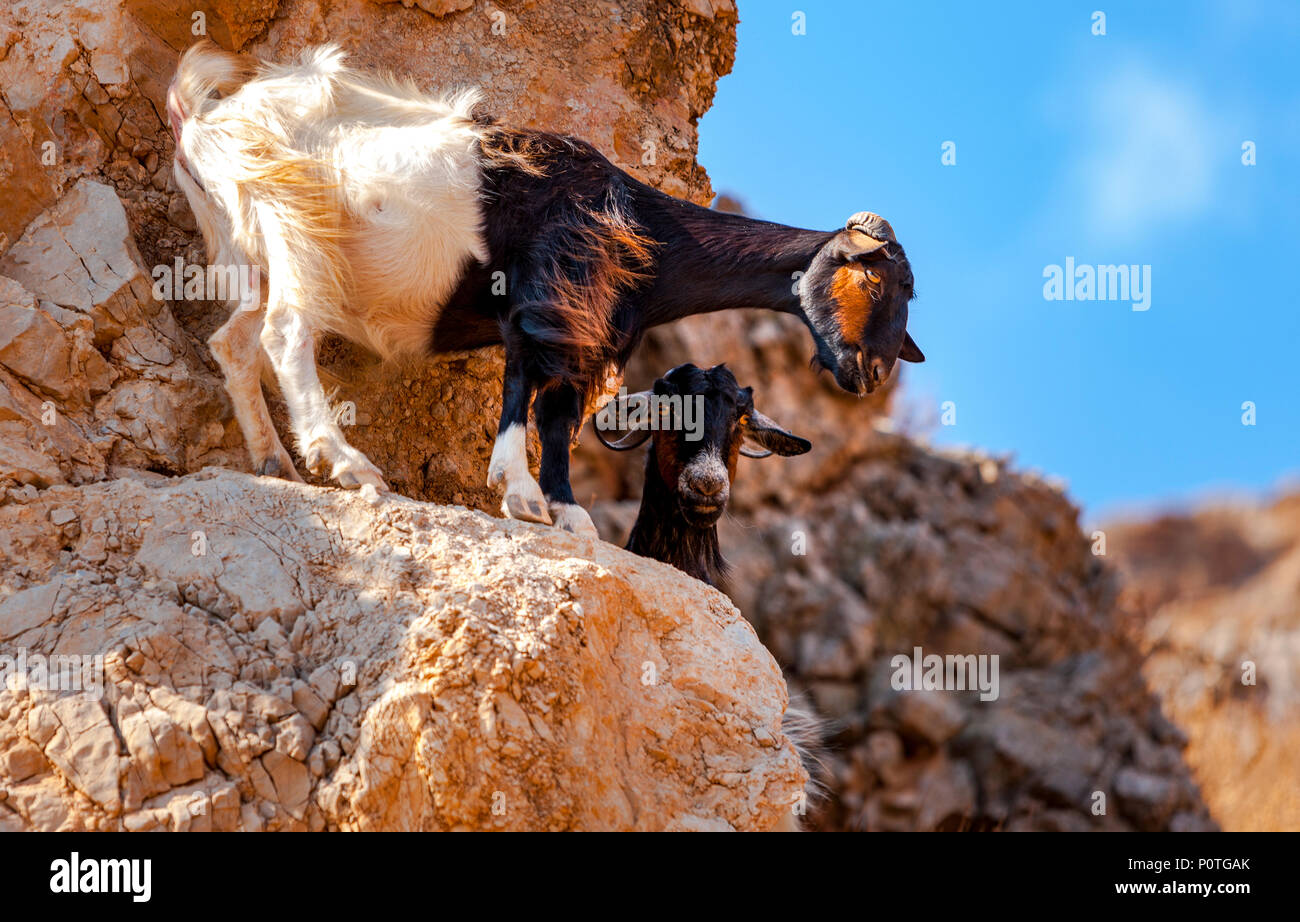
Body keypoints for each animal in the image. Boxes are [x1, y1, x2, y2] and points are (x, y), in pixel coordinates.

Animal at [170, 43, 925, 538]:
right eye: (881, 275)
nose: (871, 371)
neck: (644, 230)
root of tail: (202, 119)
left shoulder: (595, 334)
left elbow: (560, 416)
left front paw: (567, 510)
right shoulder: (545, 302)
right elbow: (523, 389)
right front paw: (520, 493)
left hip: (245, 247)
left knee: (233, 340)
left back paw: (273, 459)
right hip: (294, 225)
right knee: (285, 335)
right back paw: (346, 463)